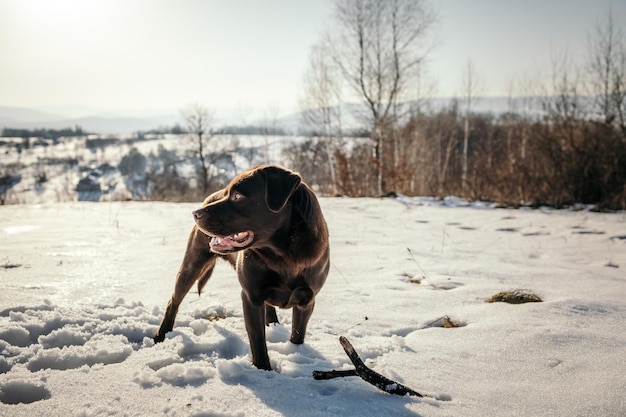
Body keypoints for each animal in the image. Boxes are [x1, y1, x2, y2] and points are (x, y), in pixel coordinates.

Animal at [154, 164, 330, 368]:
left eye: (238, 196)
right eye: (228, 193)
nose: (195, 213)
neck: (283, 256)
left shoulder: (307, 300)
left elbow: (297, 334)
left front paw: (295, 352)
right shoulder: (251, 297)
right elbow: (258, 341)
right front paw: (264, 371)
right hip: (191, 265)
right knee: (173, 301)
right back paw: (161, 336)